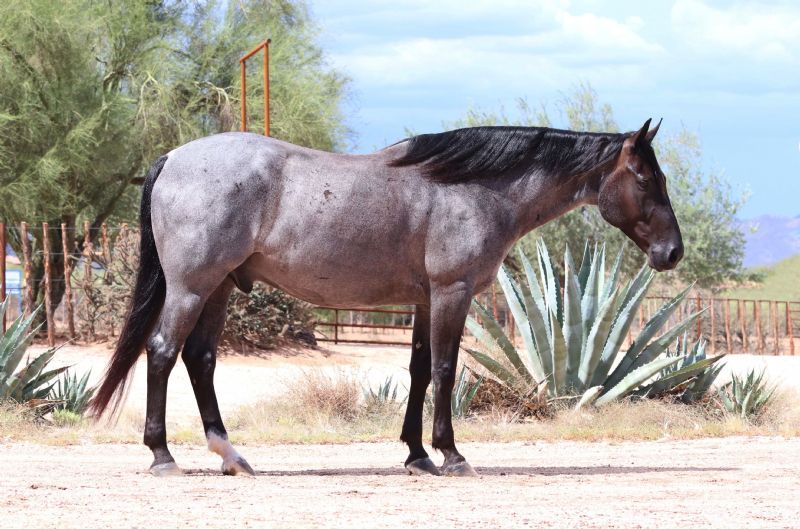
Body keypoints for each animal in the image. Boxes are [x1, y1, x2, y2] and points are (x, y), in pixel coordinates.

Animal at [89, 118, 682, 477]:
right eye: (645, 179)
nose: (672, 252)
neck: (472, 187)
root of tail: (172, 157)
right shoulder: (452, 293)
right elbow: (444, 369)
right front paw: (451, 454)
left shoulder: (424, 300)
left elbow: (419, 371)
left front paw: (417, 455)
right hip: (193, 287)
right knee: (163, 352)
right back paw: (163, 455)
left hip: (218, 289)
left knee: (200, 358)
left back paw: (230, 455)